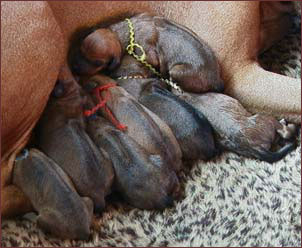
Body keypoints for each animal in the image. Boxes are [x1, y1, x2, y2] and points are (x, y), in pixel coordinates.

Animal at [71, 12, 224, 93]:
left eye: (97, 63)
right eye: (81, 48)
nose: (73, 67)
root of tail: (217, 80)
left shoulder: (148, 53)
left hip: (177, 70)